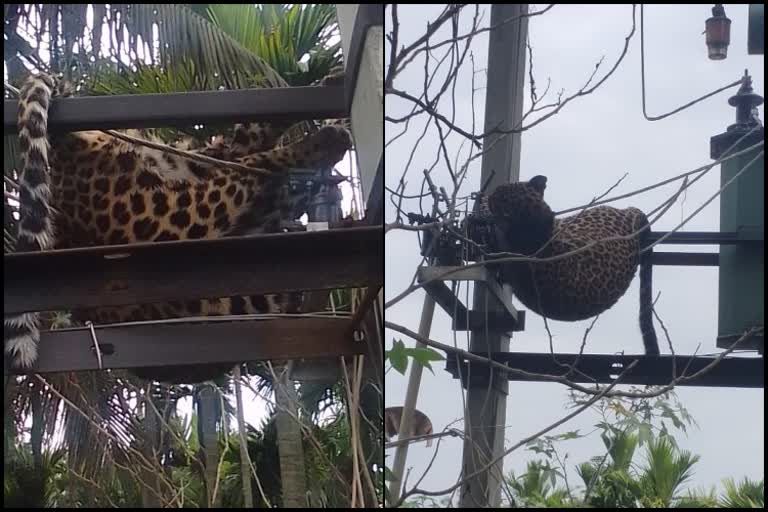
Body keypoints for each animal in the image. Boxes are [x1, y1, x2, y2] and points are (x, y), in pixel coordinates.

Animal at [3, 70, 356, 382]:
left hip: (180, 166)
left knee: (240, 145)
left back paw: (331, 102)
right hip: (183, 208)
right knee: (249, 166)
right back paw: (325, 142)